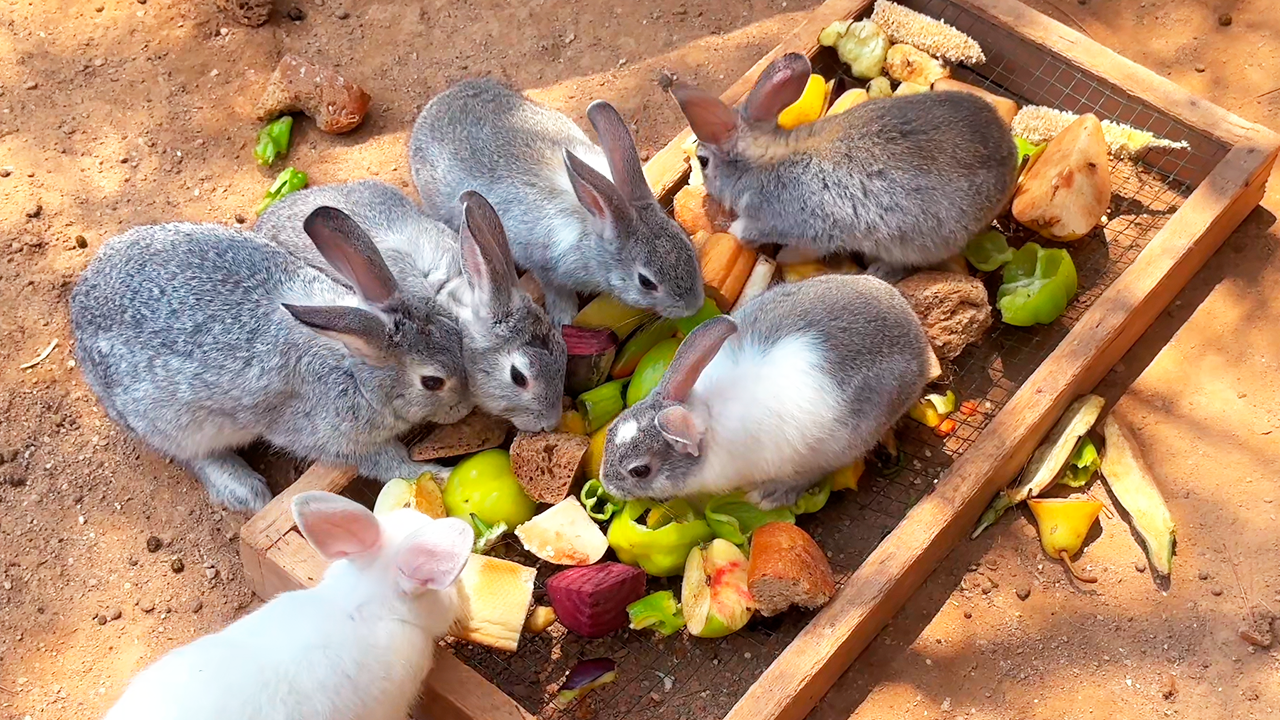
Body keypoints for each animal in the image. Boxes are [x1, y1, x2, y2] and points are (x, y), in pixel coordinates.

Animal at [70, 209, 471, 513]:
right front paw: (436, 474)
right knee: (195, 456)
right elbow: (388, 463)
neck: (355, 371)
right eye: (432, 382)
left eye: (456, 332)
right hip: (171, 423)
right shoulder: (333, 439)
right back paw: (244, 490)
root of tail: (78, 305)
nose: (466, 407)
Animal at [409, 78, 705, 326]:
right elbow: (554, 289)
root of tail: (429, 111)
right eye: (645, 282)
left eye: (686, 242)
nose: (693, 306)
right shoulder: (545, 266)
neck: (595, 225)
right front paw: (563, 317)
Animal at [600, 274, 932, 510]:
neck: (703, 415)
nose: (605, 483)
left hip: (835, 445)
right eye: (612, 429)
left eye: (640, 471)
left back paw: (770, 495)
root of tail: (918, 345)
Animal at [668, 52, 1019, 283]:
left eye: (704, 161)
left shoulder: (801, 227)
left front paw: (752, 241)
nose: (707, 193)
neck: (764, 163)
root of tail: (1011, 157)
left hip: (914, 243)